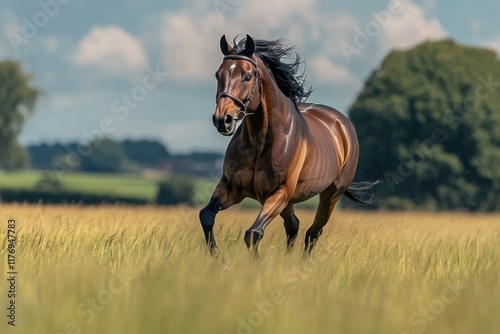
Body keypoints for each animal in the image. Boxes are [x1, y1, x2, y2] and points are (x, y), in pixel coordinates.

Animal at [198, 35, 376, 254]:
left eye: (247, 76)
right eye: (218, 75)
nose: (223, 120)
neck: (262, 142)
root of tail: (343, 125)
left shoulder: (278, 193)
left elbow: (253, 233)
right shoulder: (231, 188)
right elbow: (206, 216)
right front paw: (218, 258)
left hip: (330, 195)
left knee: (312, 232)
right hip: (290, 202)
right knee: (294, 226)